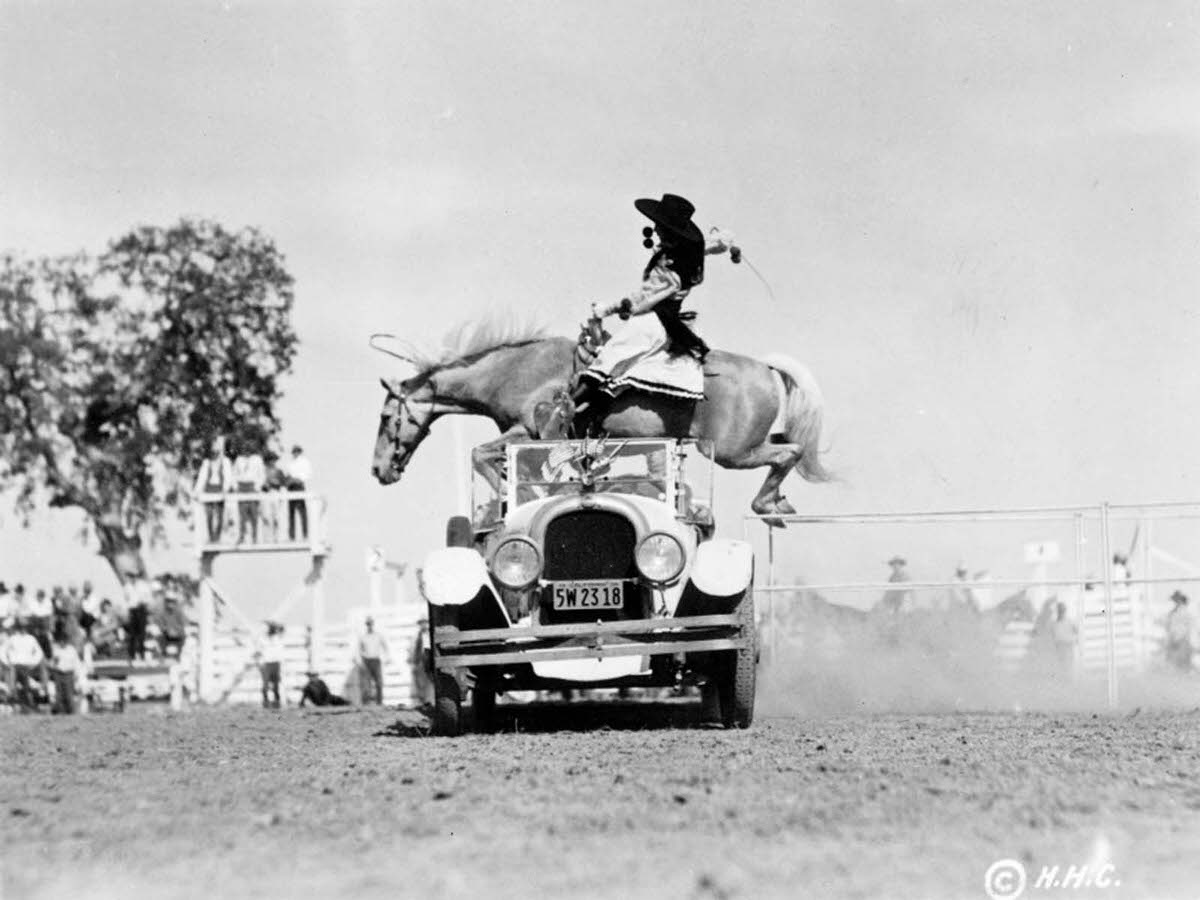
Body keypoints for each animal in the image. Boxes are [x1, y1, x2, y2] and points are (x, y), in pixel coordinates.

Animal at [369, 319, 830, 518]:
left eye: (387, 416)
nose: (378, 470)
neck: (515, 371)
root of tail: (764, 367)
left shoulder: (532, 433)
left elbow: (479, 454)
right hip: (745, 445)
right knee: (788, 445)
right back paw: (778, 501)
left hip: (732, 451)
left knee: (789, 451)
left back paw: (767, 504)